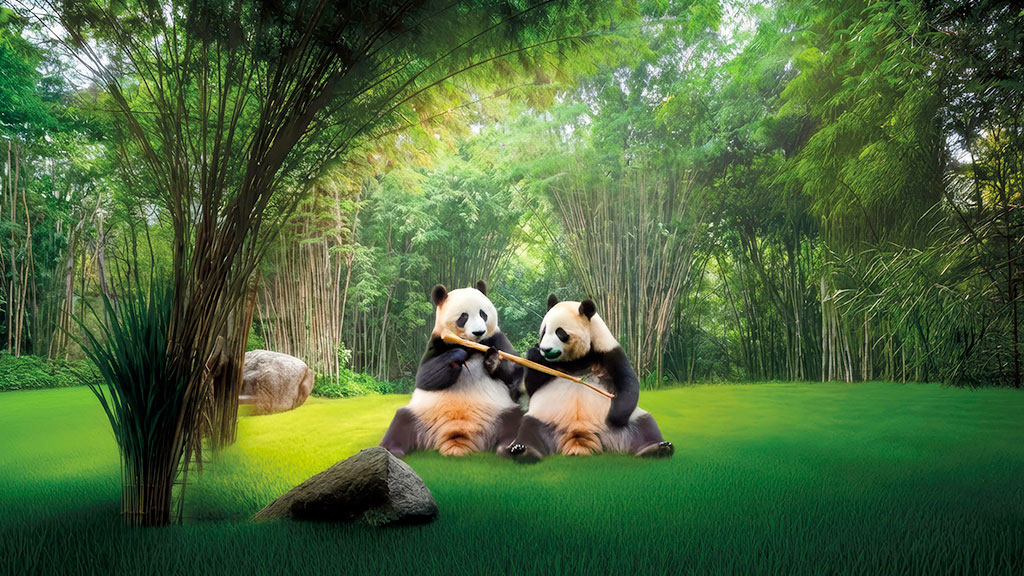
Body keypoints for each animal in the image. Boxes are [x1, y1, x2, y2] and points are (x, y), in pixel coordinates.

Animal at [380, 281, 524, 457]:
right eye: (464, 316)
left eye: (483, 314)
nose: (479, 332)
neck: (471, 346)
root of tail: (456, 441)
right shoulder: (437, 342)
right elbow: (424, 377)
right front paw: (457, 355)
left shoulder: (497, 339)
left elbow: (513, 371)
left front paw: (492, 359)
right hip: (421, 414)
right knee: (401, 421)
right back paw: (390, 450)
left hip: (500, 411)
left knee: (516, 421)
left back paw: (511, 448)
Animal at [508, 295, 674, 462]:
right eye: (543, 332)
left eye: (560, 332)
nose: (545, 349)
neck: (576, 360)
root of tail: (580, 437)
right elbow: (531, 385)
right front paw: (534, 354)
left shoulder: (609, 352)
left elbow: (628, 382)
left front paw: (615, 416)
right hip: (544, 419)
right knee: (528, 428)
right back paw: (523, 451)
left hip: (627, 424)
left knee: (645, 424)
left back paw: (658, 448)